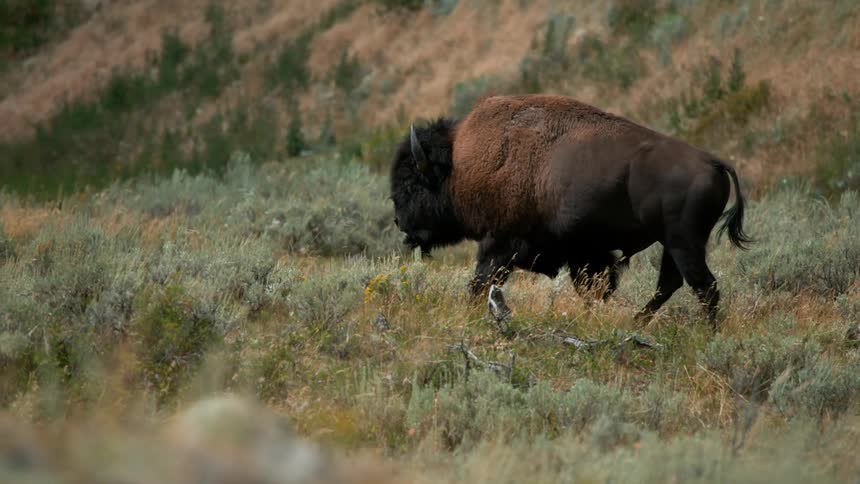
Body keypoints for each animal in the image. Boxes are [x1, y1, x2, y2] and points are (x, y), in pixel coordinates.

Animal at [389, 94, 752, 329]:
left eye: (411, 184)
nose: (399, 222)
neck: (458, 164)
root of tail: (712, 161)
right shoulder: (584, 254)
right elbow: (591, 289)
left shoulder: (498, 243)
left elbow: (481, 282)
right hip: (674, 243)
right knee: (673, 283)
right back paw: (637, 323)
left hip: (682, 240)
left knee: (702, 285)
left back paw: (706, 334)